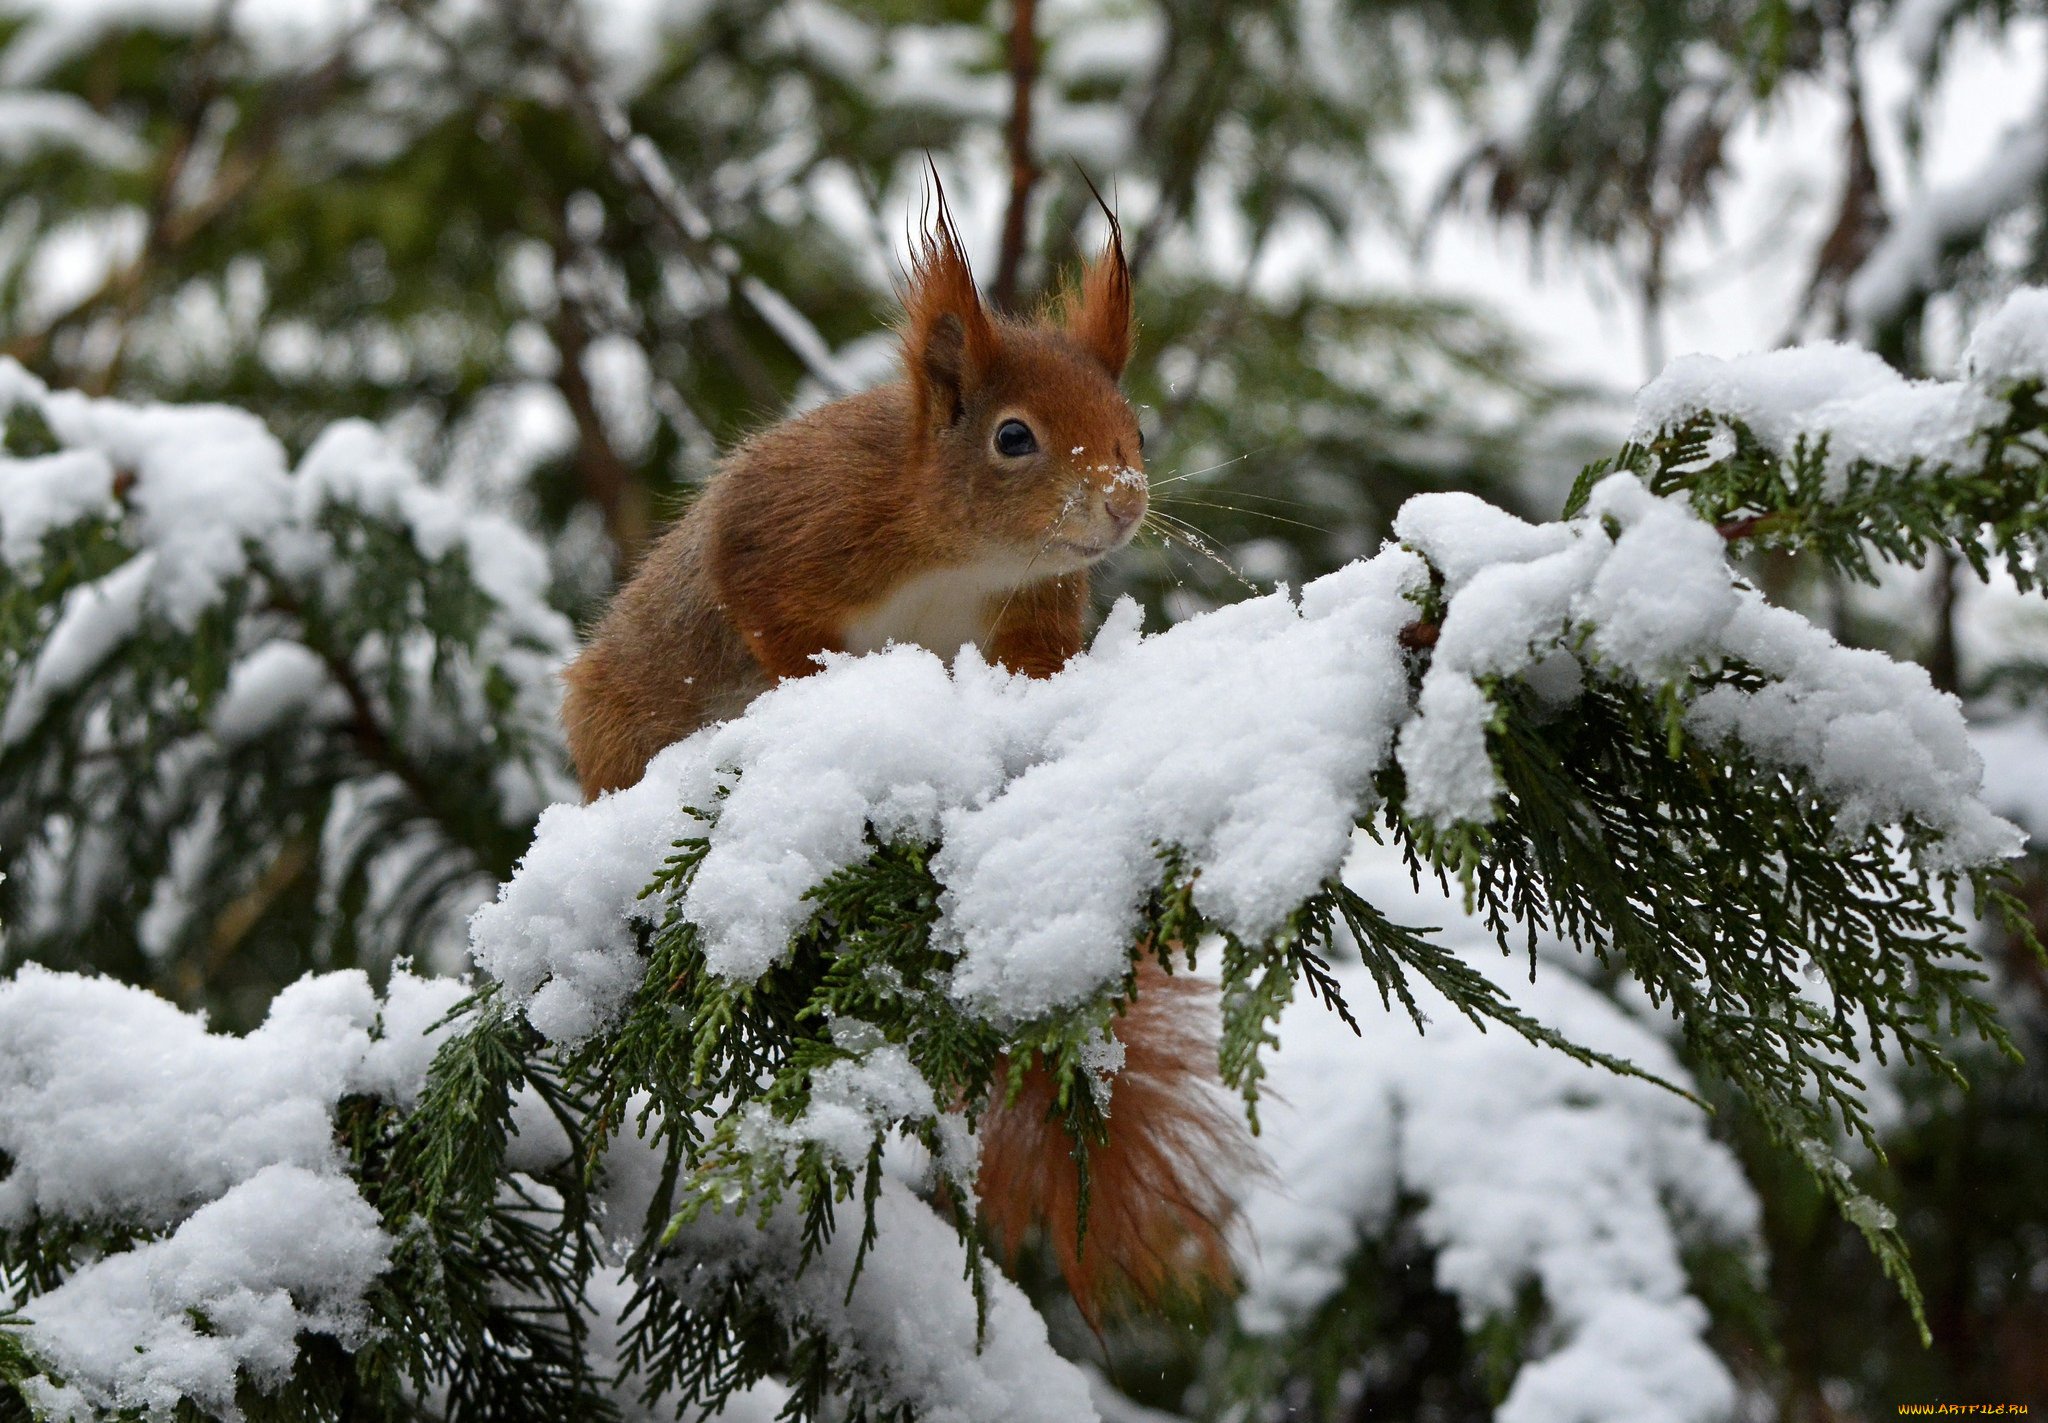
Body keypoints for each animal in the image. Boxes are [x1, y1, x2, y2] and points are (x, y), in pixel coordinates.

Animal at [569, 194, 1253, 1318]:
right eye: (1013, 437)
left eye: (1137, 427)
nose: (1122, 500)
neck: (961, 551)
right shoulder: (795, 518)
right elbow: (758, 597)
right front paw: (821, 690)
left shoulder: (1029, 614)